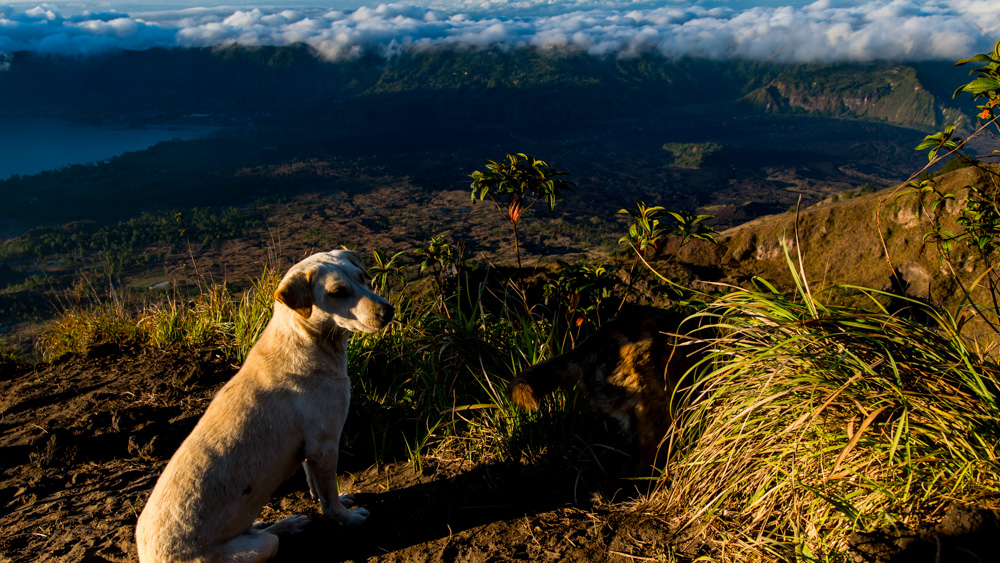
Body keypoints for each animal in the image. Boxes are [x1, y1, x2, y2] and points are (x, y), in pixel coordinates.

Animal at [135, 251, 392, 563]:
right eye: (337, 292)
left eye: (362, 277)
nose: (389, 311)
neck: (305, 341)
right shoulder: (325, 445)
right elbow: (329, 501)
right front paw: (348, 518)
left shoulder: (310, 451)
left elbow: (318, 488)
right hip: (256, 548)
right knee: (268, 540)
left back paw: (282, 524)